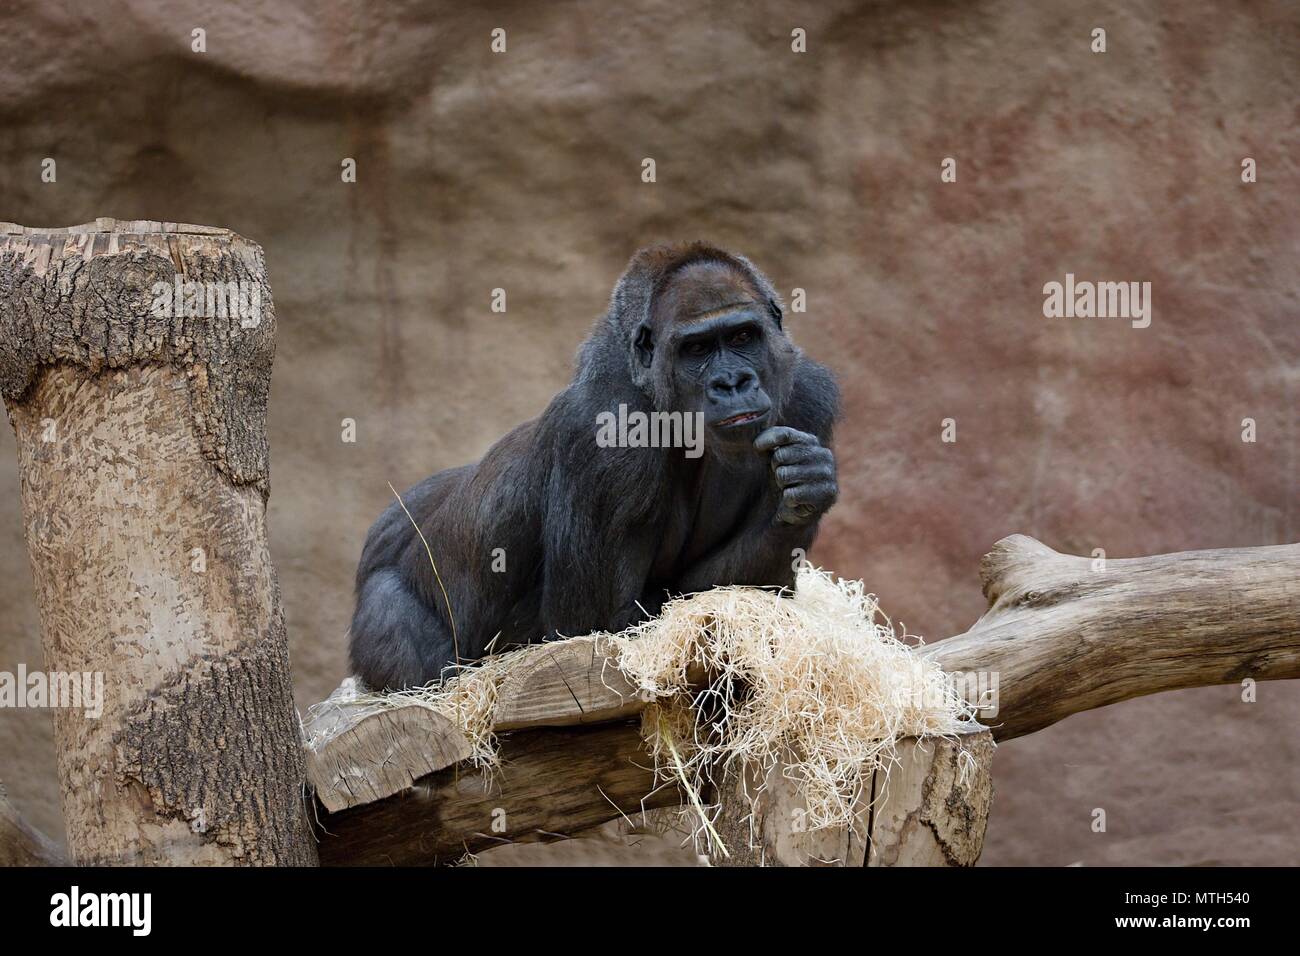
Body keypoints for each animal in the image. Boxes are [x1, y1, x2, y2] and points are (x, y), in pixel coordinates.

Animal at [351, 243, 837, 691]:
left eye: (741, 337)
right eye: (697, 348)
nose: (732, 382)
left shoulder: (808, 395)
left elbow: (742, 591)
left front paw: (802, 493)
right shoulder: (608, 431)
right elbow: (593, 625)